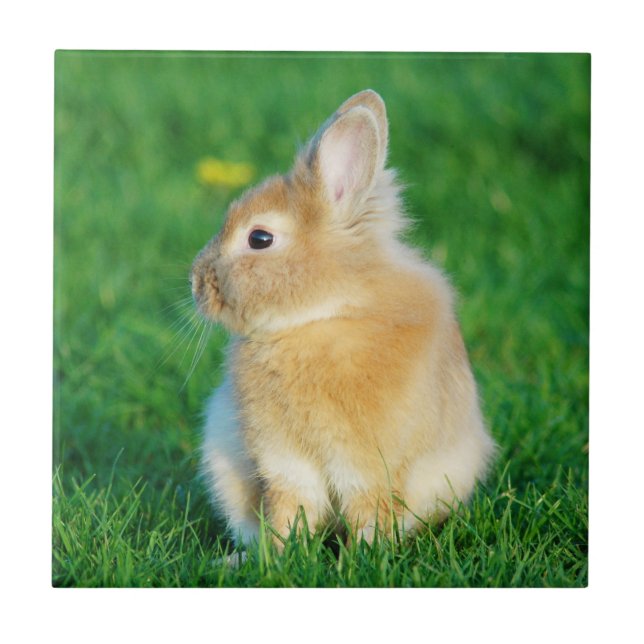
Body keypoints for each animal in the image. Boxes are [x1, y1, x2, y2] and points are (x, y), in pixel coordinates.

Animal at [191, 89, 495, 547]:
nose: (196, 282)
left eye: (259, 238)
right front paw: (277, 554)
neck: (321, 316)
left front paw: (366, 555)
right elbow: (289, 507)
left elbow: (367, 509)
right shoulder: (284, 461)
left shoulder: (368, 465)